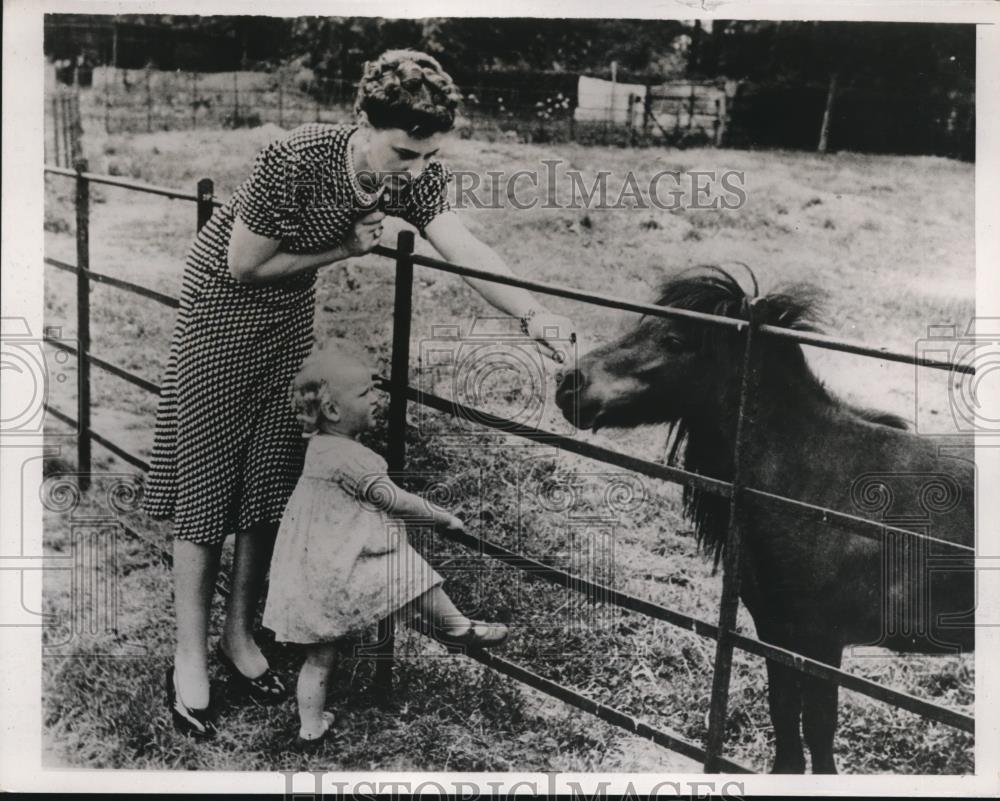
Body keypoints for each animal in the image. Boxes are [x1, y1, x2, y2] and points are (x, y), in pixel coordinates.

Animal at [552, 266, 972, 772]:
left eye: (674, 339)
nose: (569, 383)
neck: (817, 485)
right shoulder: (775, 632)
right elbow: (785, 718)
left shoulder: (820, 642)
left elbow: (819, 729)